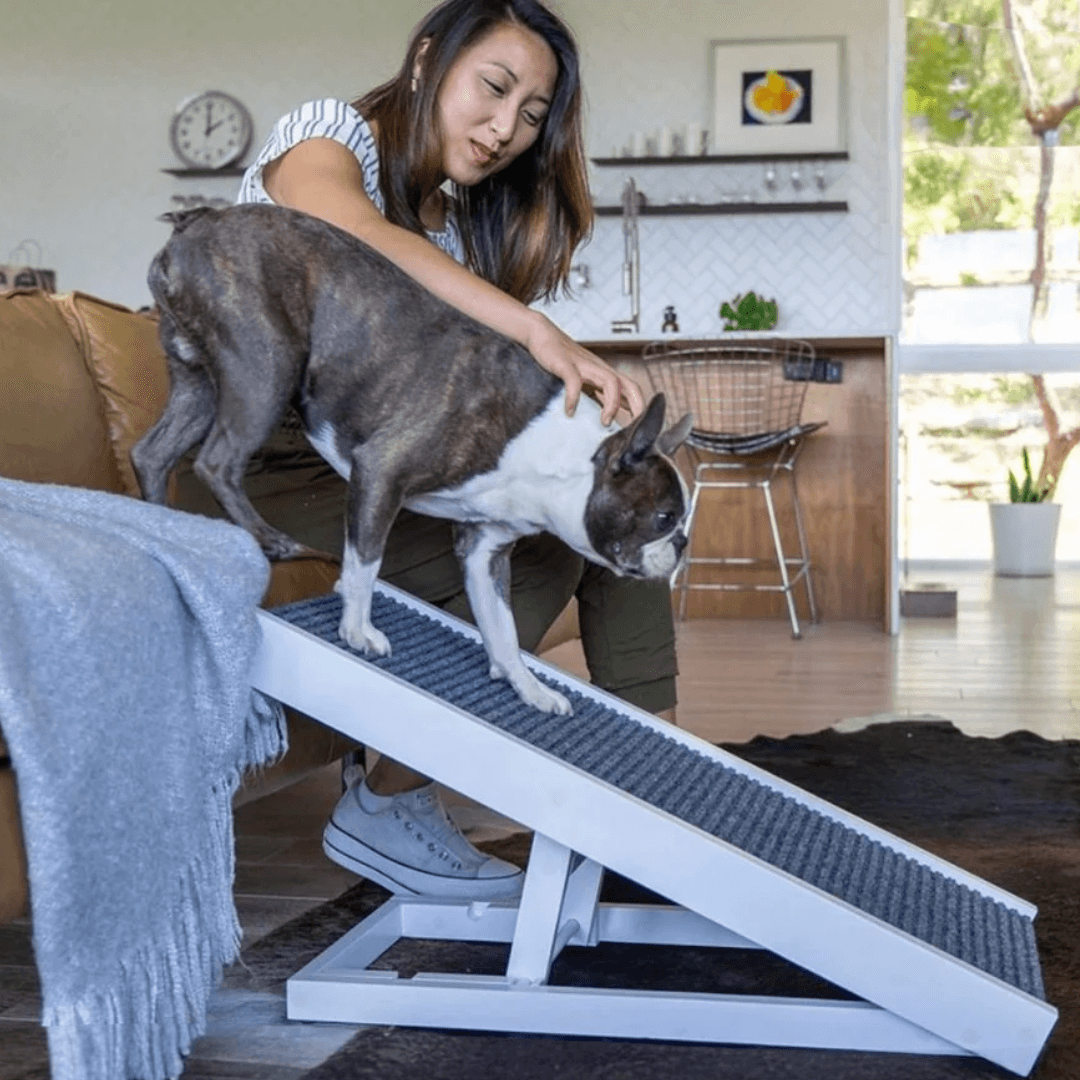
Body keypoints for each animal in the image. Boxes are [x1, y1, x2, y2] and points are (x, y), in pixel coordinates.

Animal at [132, 203, 691, 717]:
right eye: (665, 517)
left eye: (681, 522)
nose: (683, 545)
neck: (559, 454)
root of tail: (200, 219)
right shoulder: (381, 472)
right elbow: (365, 561)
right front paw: (358, 629)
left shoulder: (484, 550)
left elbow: (503, 629)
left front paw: (529, 688)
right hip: (265, 367)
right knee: (217, 461)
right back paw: (269, 539)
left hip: (198, 380)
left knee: (152, 454)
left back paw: (159, 522)